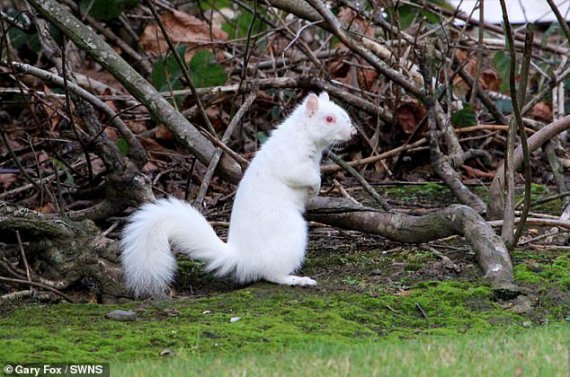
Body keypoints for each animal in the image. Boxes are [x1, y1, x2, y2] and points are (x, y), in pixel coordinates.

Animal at [120, 92, 352, 296]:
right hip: (291, 236)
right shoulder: (290, 161)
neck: (302, 133)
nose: (353, 133)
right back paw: (295, 279)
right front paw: (316, 185)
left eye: (343, 112)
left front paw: (315, 190)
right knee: (270, 274)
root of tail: (243, 258)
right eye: (329, 118)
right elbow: (302, 175)